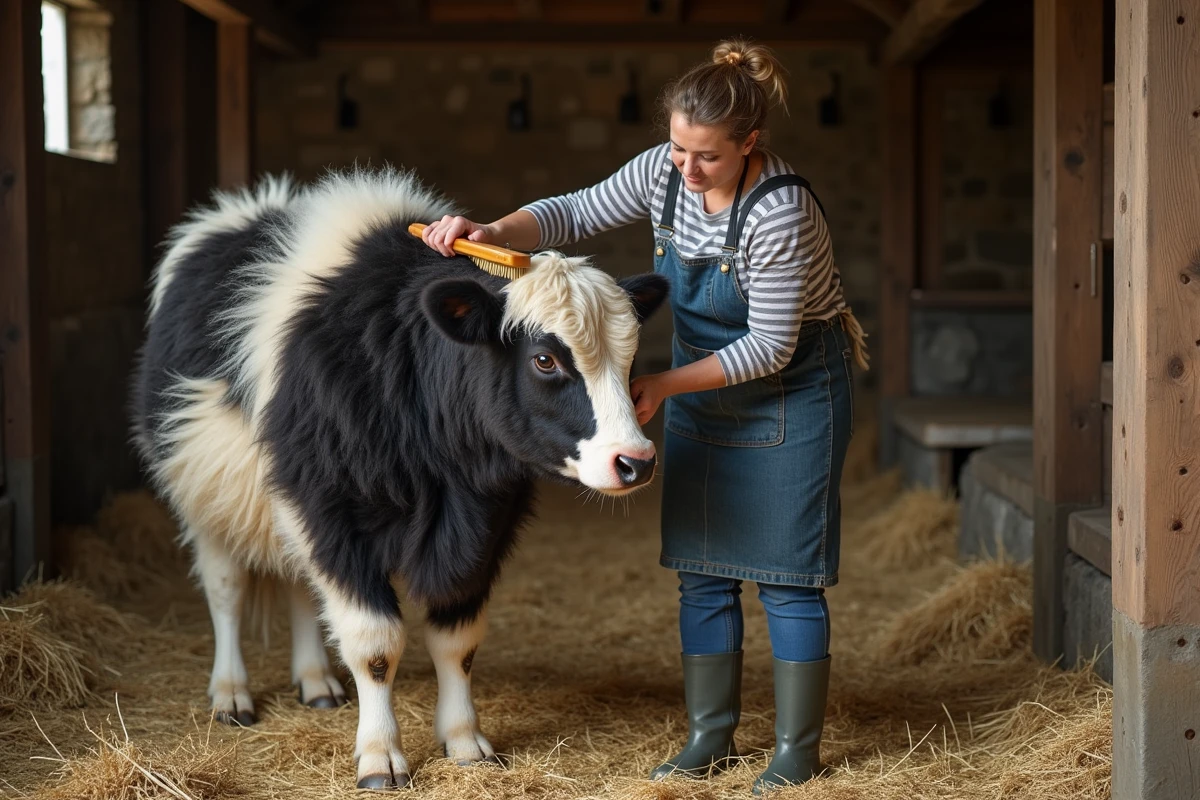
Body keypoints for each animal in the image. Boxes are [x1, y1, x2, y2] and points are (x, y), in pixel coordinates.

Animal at [130, 167, 669, 790]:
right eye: (544, 360)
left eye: (629, 359)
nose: (635, 460)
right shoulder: (329, 513)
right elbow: (375, 645)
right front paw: (380, 754)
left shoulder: (484, 523)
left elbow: (457, 642)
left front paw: (464, 740)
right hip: (205, 497)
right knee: (226, 592)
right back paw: (230, 692)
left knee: (299, 589)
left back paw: (315, 680)